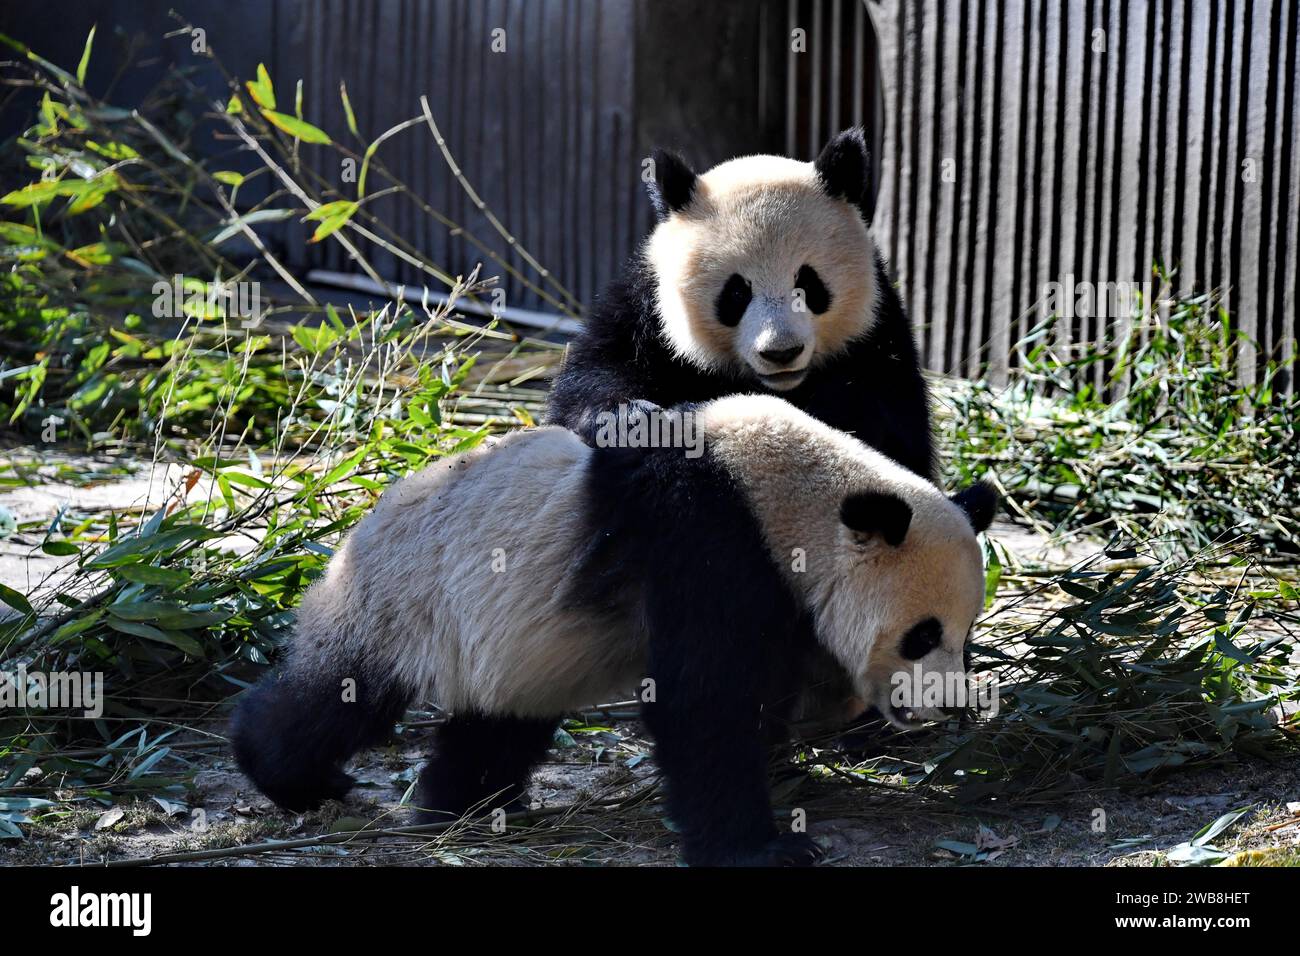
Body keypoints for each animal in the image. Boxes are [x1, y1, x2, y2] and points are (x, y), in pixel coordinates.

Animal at [230, 395, 995, 866]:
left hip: (508, 648)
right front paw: (763, 847)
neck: (784, 493)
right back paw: (294, 774)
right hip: (402, 603)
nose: (943, 704)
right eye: (921, 635)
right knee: (340, 696)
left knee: (498, 723)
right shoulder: (705, 531)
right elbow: (703, 697)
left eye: (966, 636)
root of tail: (354, 530)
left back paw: (461, 806)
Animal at [546, 127, 934, 481]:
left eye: (809, 285)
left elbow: (895, 431)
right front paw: (634, 418)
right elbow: (594, 377)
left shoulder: (880, 333)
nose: (781, 353)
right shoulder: (643, 310)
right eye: (736, 293)